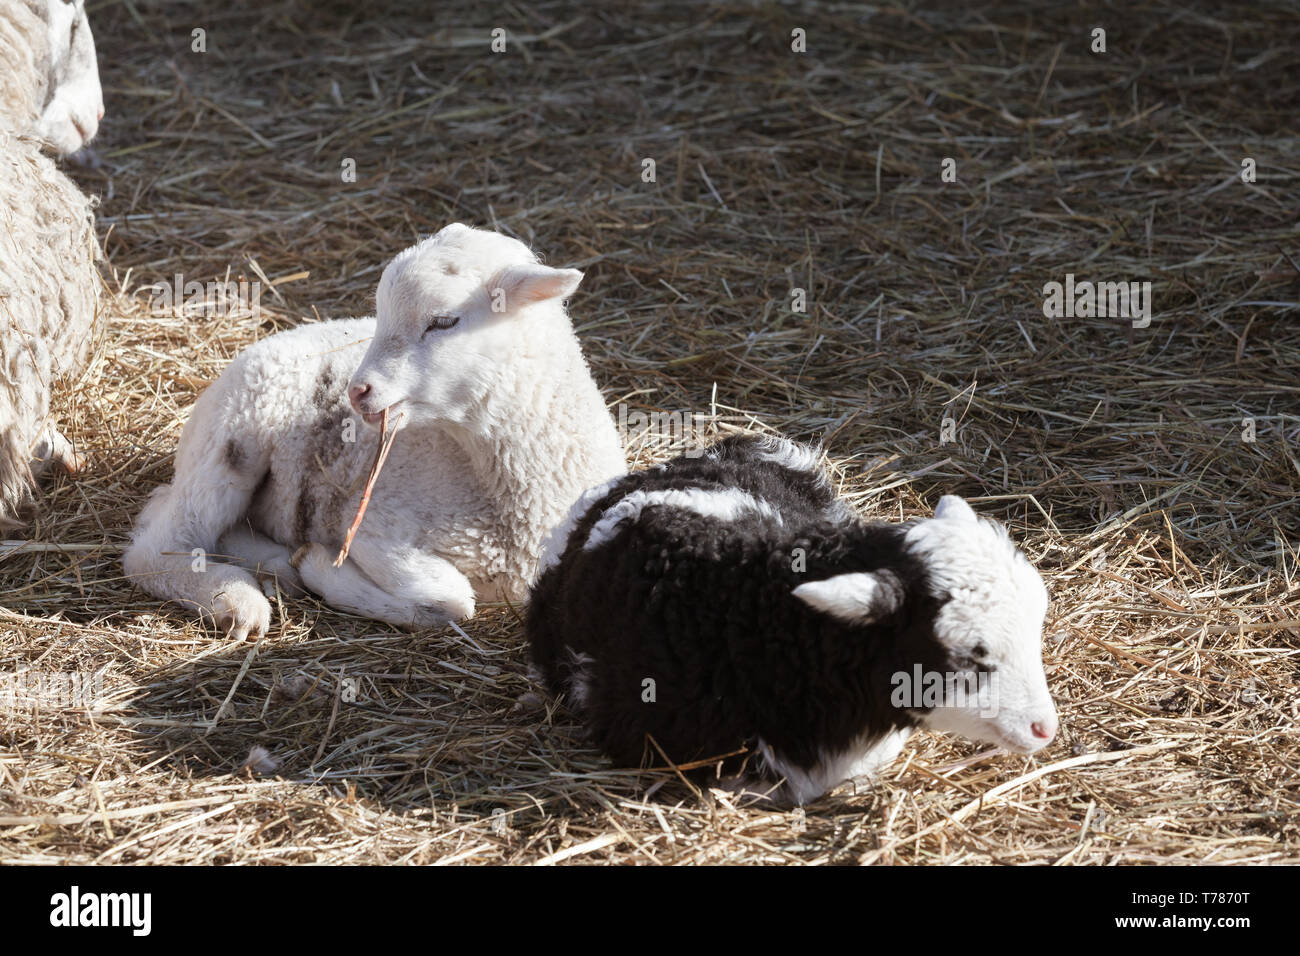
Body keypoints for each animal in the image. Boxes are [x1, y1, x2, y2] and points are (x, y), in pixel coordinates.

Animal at [126, 225, 629, 642]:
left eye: (443, 321)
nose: (357, 390)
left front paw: (305, 564)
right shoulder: (370, 526)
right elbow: (453, 599)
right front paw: (320, 566)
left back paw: (272, 565)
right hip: (234, 432)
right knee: (155, 547)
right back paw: (238, 600)